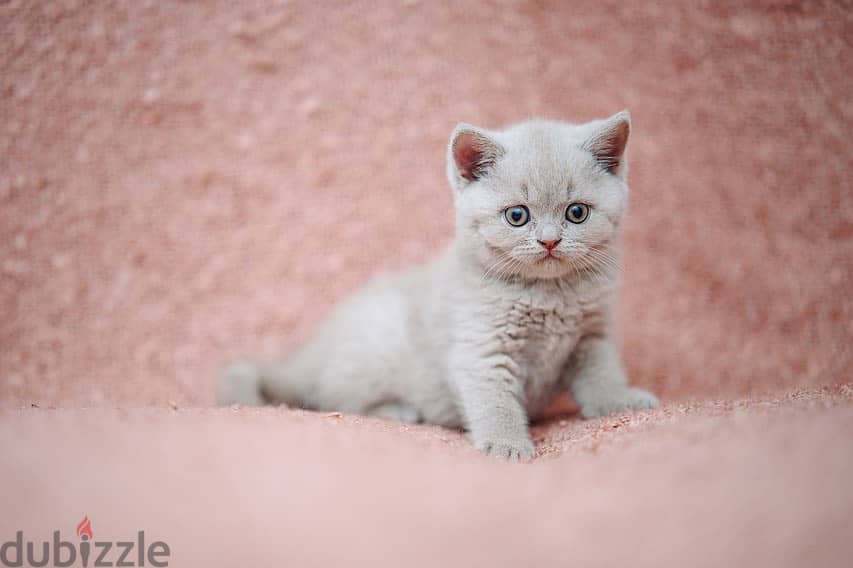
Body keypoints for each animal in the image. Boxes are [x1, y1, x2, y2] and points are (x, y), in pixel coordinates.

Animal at [221, 112, 660, 462]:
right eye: (517, 216)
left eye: (577, 212)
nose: (549, 241)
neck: (549, 294)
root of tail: (309, 352)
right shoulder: (482, 346)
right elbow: (494, 401)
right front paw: (506, 444)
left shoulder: (592, 337)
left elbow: (603, 375)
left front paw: (621, 403)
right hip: (375, 343)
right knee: (331, 400)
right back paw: (397, 410)